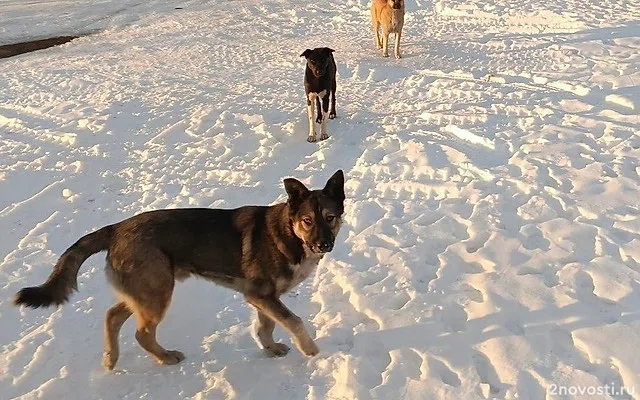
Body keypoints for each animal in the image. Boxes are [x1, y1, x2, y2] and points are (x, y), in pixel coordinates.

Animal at [13, 170, 344, 368]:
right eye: (307, 221)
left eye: (330, 218)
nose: (324, 245)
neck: (289, 234)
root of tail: (116, 228)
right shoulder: (262, 295)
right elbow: (295, 321)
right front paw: (312, 352)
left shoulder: (263, 298)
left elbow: (267, 326)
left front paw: (271, 349)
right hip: (157, 294)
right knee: (141, 334)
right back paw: (165, 356)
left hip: (145, 292)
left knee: (112, 316)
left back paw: (111, 357)